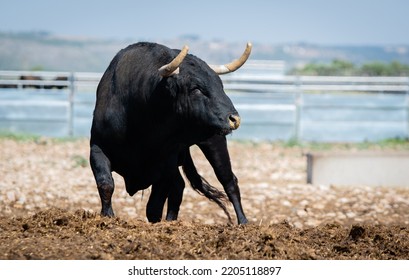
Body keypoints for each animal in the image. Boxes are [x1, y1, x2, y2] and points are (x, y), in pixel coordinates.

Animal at [90, 42, 250, 225]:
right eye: (196, 88)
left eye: (220, 85)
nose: (234, 118)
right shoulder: (97, 147)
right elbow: (105, 184)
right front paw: (107, 216)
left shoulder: (166, 162)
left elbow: (154, 204)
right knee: (179, 187)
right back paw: (171, 220)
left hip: (214, 142)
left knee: (229, 181)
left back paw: (243, 221)